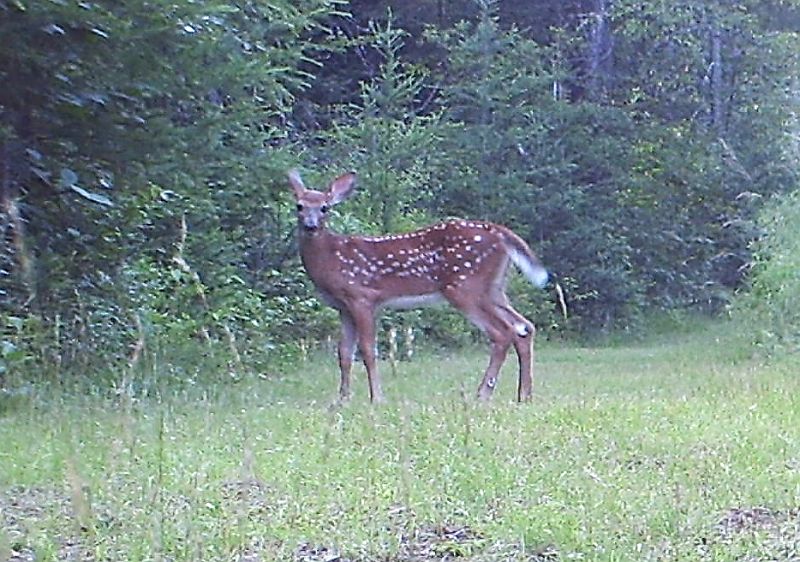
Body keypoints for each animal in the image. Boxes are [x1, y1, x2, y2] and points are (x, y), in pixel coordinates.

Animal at [290, 168, 552, 400]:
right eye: (299, 206)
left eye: (324, 207)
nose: (311, 226)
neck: (332, 258)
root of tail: (500, 233)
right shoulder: (343, 307)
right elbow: (344, 353)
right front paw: (342, 400)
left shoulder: (362, 297)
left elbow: (367, 350)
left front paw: (377, 398)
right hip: (493, 289)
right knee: (524, 327)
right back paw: (524, 395)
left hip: (465, 287)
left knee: (502, 332)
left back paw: (483, 394)